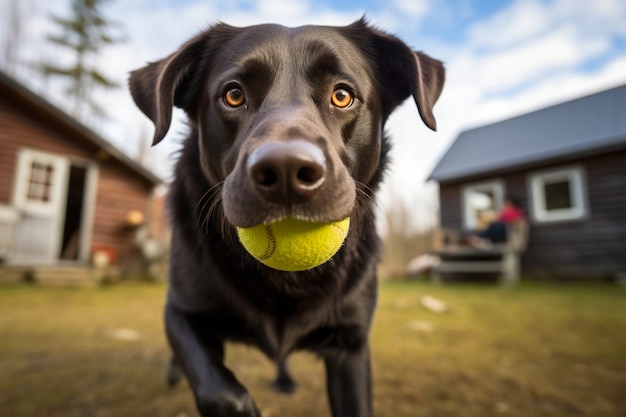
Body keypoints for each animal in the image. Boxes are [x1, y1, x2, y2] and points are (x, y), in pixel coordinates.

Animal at [129, 17, 444, 416]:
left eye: (342, 95)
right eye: (233, 95)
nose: (286, 171)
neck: (283, 281)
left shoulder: (352, 344)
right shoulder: (181, 311)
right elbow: (218, 389)